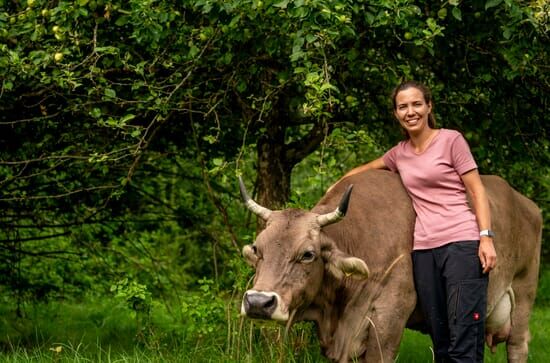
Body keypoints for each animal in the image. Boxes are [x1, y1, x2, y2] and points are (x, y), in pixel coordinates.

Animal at [238, 171, 544, 363]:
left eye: (307, 254)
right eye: (258, 249)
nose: (258, 302)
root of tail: (526, 203)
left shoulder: (390, 317)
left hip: (523, 294)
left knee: (518, 346)